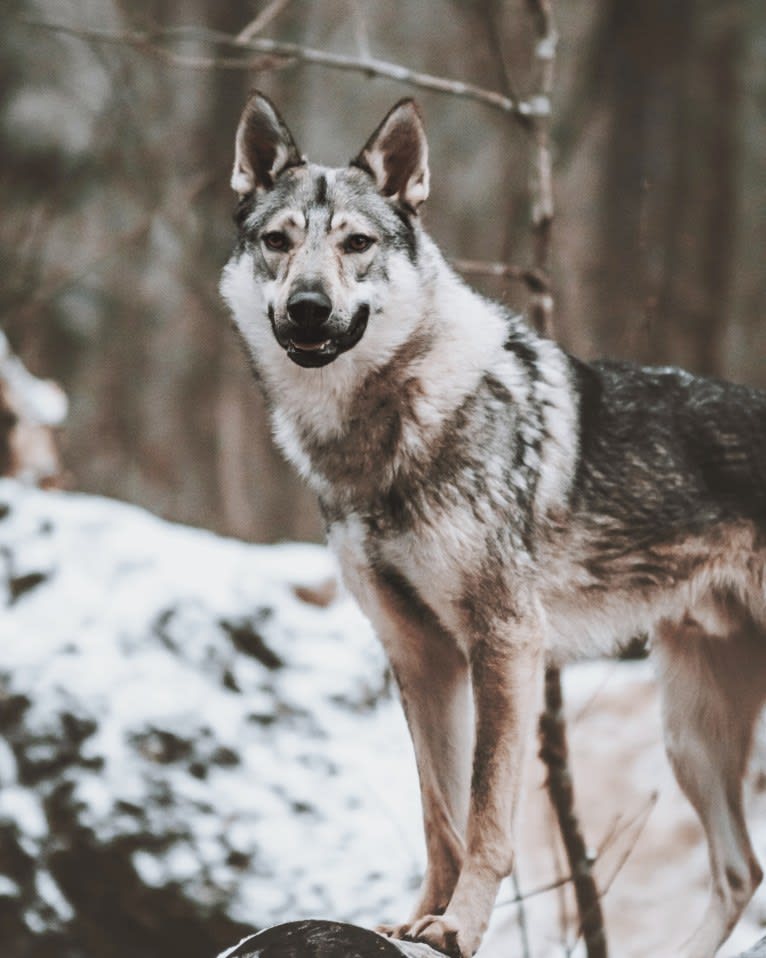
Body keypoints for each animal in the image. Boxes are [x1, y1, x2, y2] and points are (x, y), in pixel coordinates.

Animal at [222, 92, 766, 958]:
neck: (386, 437)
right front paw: (417, 918)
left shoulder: (505, 641)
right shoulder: (420, 656)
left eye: (356, 244)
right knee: (740, 870)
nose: (308, 308)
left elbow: (484, 818)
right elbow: (439, 817)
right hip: (691, 735)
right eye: (279, 242)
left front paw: (459, 926)